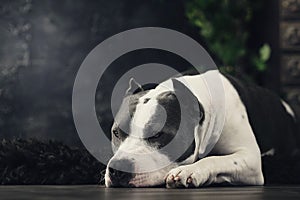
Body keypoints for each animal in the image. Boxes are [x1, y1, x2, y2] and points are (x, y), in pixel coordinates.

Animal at [103, 69, 298, 188]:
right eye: (115, 133)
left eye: (158, 135)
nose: (118, 169)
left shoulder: (250, 158)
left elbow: (216, 160)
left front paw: (189, 171)